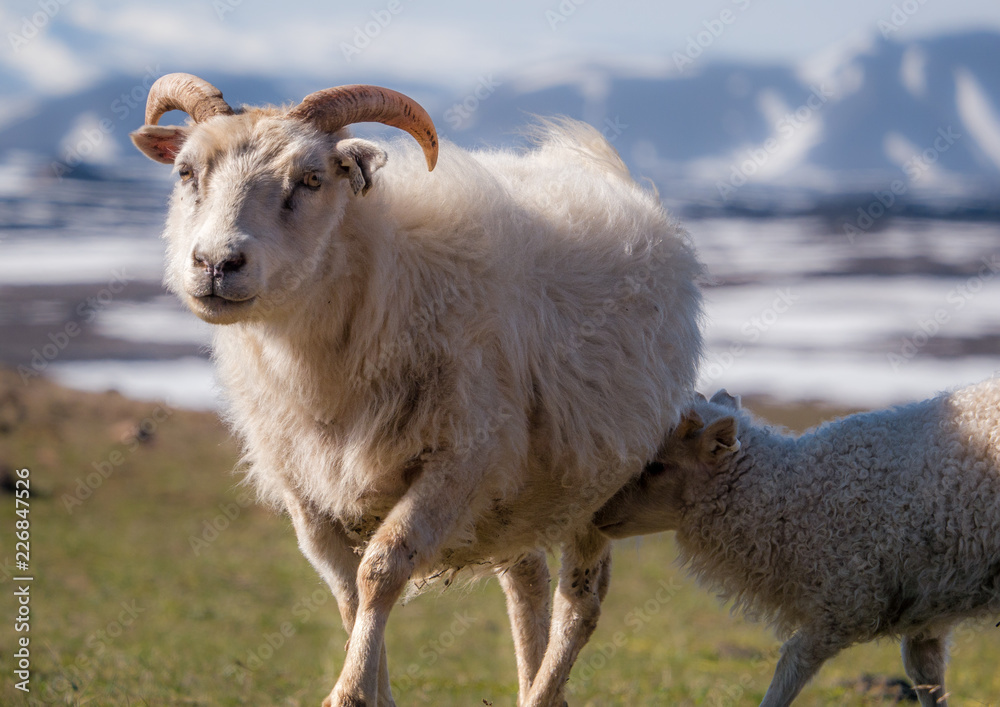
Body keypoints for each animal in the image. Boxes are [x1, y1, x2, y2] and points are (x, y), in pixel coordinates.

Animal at [130, 73, 704, 707]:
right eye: (186, 172)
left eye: (311, 179)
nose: (215, 263)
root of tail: (604, 170)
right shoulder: (305, 484)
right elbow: (345, 591)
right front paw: (373, 691)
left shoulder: (459, 459)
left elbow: (379, 572)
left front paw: (350, 692)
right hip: (515, 496)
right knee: (526, 578)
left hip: (598, 483)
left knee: (581, 602)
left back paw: (544, 687)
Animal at [594, 381, 1000, 707]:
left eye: (656, 467)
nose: (596, 514)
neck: (793, 499)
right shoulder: (924, 616)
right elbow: (926, 678)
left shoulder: (843, 604)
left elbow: (787, 673)